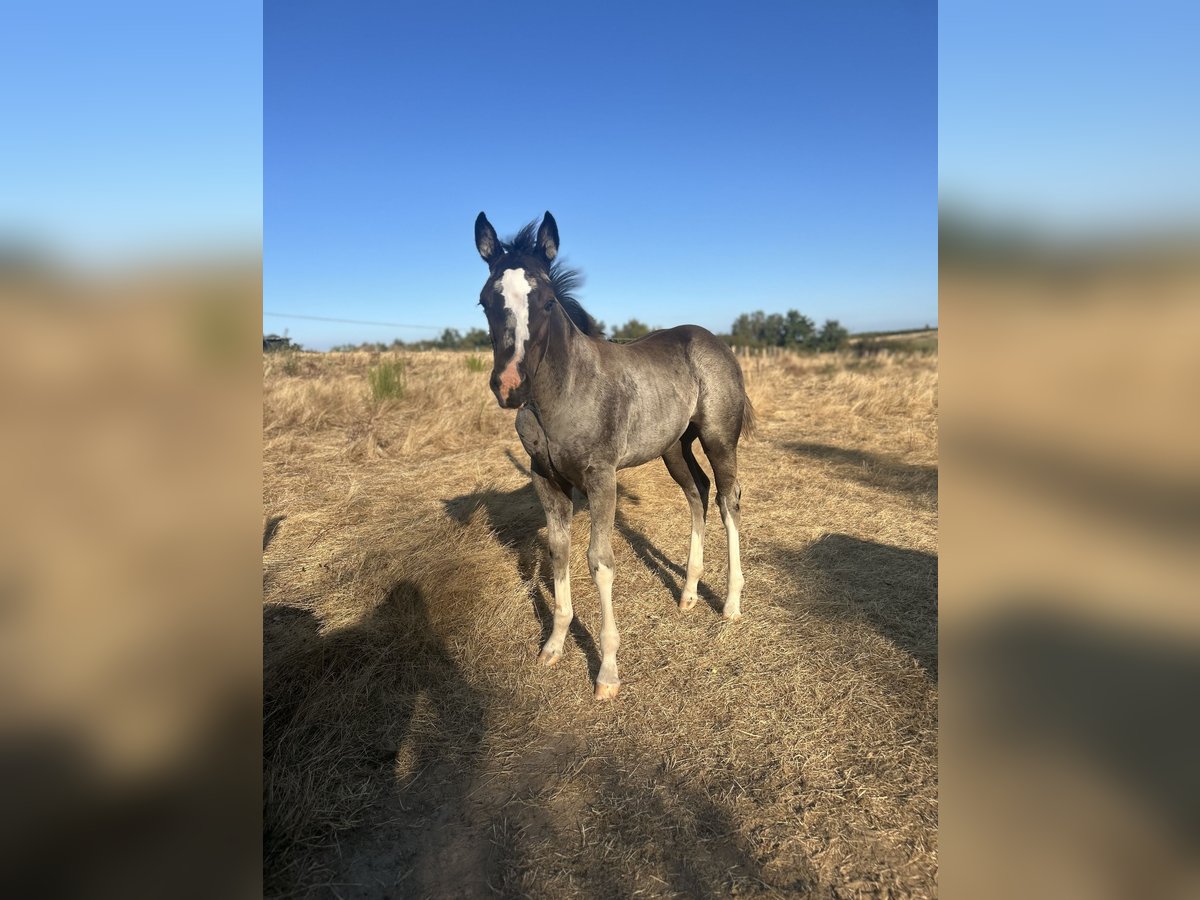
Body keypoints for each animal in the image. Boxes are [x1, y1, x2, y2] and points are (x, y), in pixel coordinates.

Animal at [473, 211, 754, 700]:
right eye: (486, 301)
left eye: (548, 301)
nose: (510, 386)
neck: (561, 394)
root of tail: (714, 341)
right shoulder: (546, 480)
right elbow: (559, 551)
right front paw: (553, 644)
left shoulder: (601, 478)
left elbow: (599, 562)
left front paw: (607, 672)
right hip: (673, 447)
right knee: (697, 493)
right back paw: (688, 592)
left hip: (719, 438)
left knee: (727, 499)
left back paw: (731, 602)